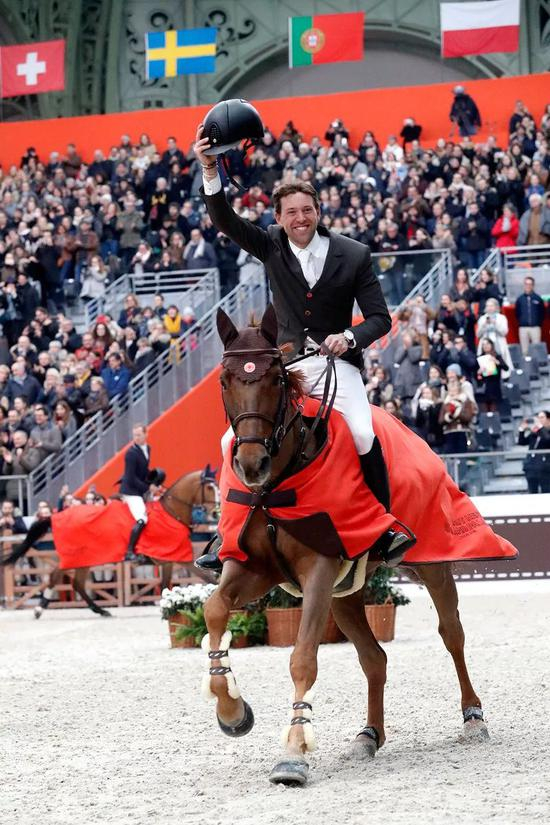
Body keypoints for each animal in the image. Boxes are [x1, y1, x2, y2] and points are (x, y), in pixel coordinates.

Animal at [1, 467, 220, 619]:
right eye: (210, 487)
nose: (217, 512)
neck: (172, 513)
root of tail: (56, 515)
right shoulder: (173, 559)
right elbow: (188, 581)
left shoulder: (172, 561)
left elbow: (181, 583)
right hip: (74, 557)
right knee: (56, 577)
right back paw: (40, 608)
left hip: (84, 560)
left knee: (77, 583)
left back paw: (100, 610)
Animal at [198, 304, 517, 787]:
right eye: (224, 380)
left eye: (274, 378)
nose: (252, 465)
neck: (278, 483)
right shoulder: (254, 567)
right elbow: (215, 608)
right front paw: (232, 711)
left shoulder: (318, 568)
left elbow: (303, 658)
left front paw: (293, 754)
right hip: (345, 594)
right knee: (374, 658)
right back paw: (369, 735)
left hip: (432, 565)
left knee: (452, 635)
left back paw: (473, 718)